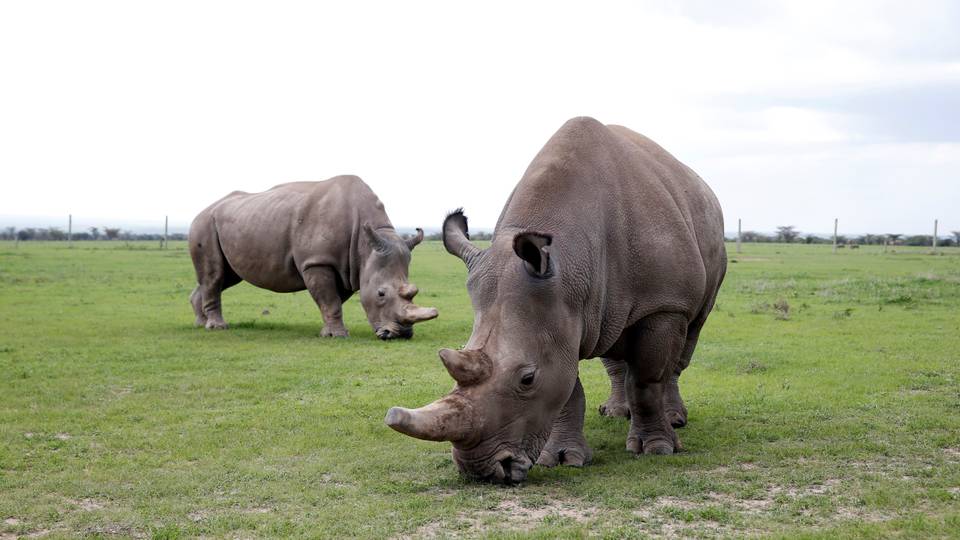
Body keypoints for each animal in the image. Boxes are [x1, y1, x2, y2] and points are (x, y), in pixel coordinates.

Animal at [188, 176, 438, 339]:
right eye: (381, 294)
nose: (400, 334)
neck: (365, 248)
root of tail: (201, 211)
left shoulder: (348, 268)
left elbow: (333, 299)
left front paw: (327, 331)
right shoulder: (318, 261)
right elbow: (330, 300)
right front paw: (338, 335)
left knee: (224, 277)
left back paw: (200, 323)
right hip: (204, 224)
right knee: (214, 276)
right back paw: (218, 328)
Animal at [385, 117, 726, 483]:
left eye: (526, 379)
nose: (482, 472)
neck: (569, 257)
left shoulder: (663, 304)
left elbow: (647, 380)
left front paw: (656, 449)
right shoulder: (559, 315)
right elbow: (567, 388)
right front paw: (563, 458)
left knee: (687, 339)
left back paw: (674, 419)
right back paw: (614, 413)